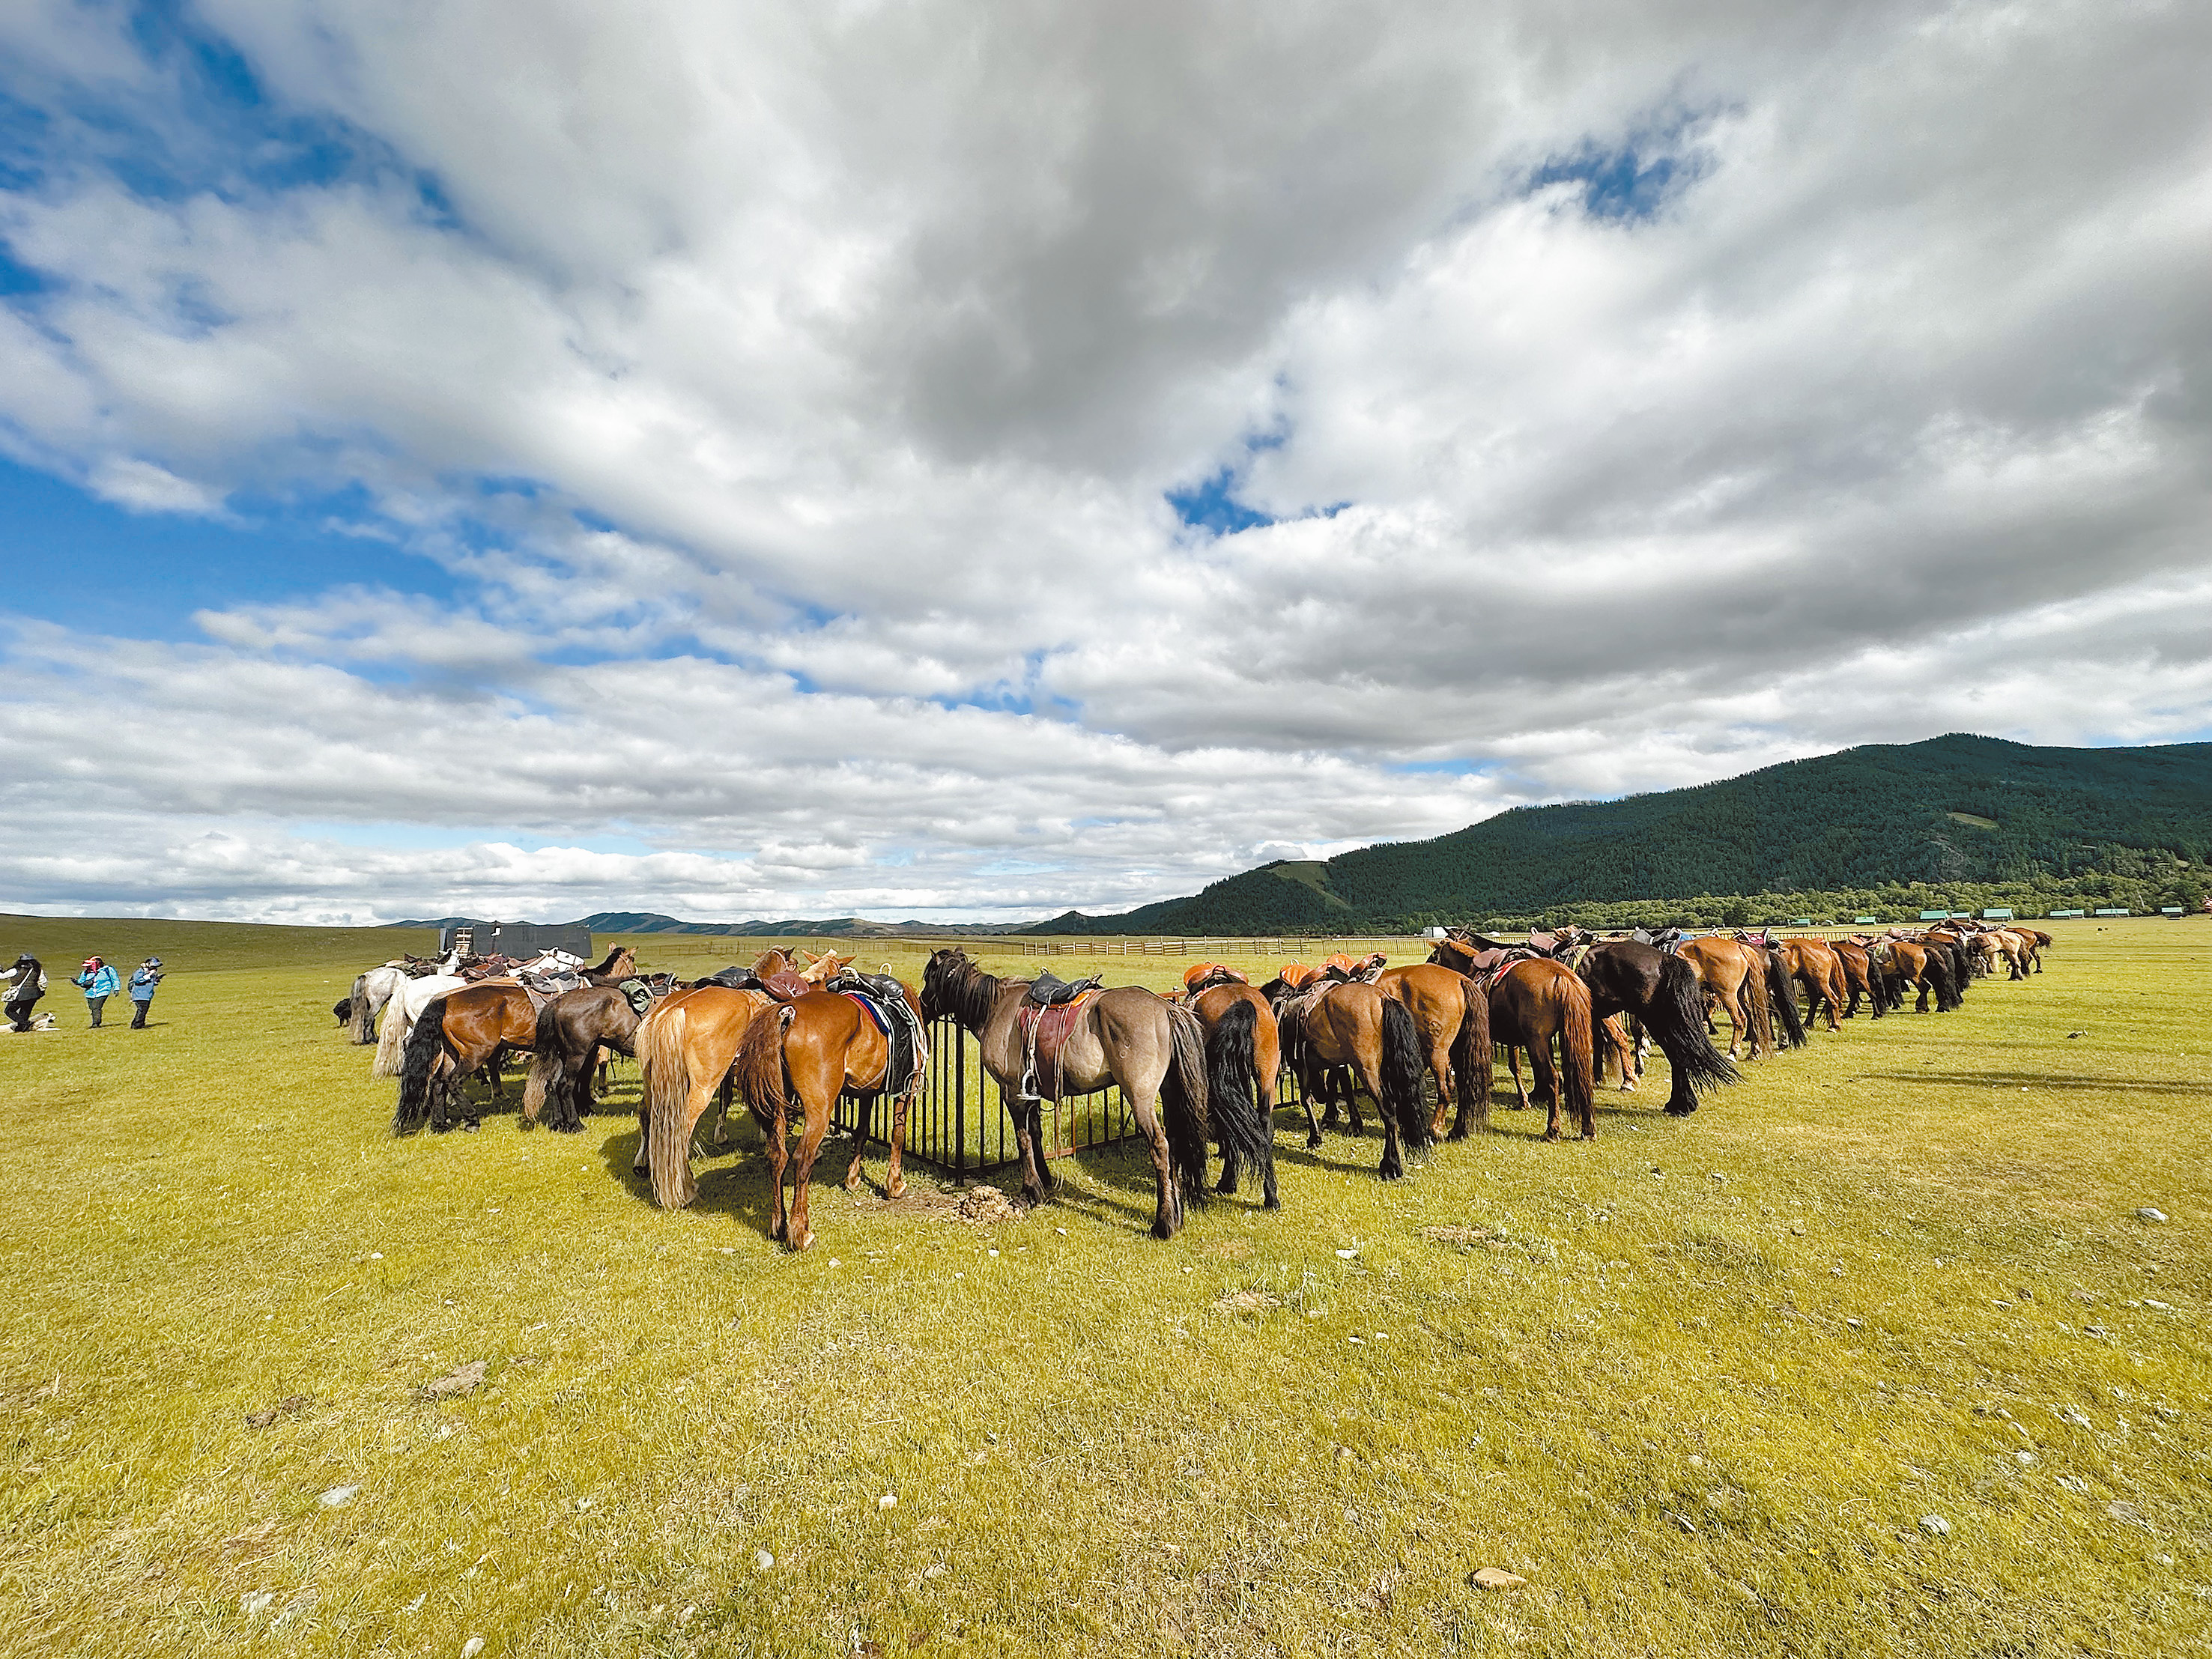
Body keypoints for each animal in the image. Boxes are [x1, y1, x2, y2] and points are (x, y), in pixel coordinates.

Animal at [734, 973, 924, 1256]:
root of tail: (789, 1013)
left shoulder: (866, 1092)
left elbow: (862, 1131)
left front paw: (853, 1178)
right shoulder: (906, 1088)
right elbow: (898, 1134)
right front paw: (895, 1184)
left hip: (778, 1109)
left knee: (778, 1157)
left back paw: (778, 1225)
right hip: (819, 1109)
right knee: (802, 1159)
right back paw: (801, 1233)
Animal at [915, 955, 1265, 1238]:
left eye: (928, 978)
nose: (921, 1006)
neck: (996, 1007)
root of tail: (1167, 1008)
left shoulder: (1012, 1091)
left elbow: (1023, 1140)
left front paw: (1029, 1191)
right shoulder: (1032, 1091)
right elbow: (1036, 1135)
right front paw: (1044, 1181)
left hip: (1140, 1098)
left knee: (1161, 1147)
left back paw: (1163, 1223)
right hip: (1169, 1094)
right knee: (1177, 1144)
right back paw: (1175, 1213)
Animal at [1371, 959, 1495, 1141]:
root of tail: (1460, 979)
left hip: (1436, 1053)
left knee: (1446, 1088)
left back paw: (1435, 1129)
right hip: (1456, 1052)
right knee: (1464, 1086)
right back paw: (1458, 1130)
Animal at [1477, 959, 1601, 1141]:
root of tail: (1562, 975)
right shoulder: (1514, 1040)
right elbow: (1515, 1067)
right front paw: (1523, 1100)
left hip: (1537, 1040)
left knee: (1553, 1077)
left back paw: (1552, 1129)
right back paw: (1588, 1129)